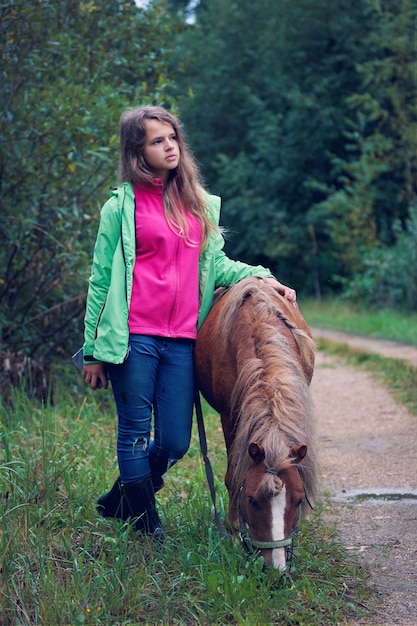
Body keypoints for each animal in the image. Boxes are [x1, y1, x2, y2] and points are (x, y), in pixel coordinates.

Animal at [194, 276, 316, 568]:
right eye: (251, 500)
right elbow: (233, 476)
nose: (276, 569)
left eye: (298, 501)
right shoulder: (229, 417)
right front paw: (233, 530)